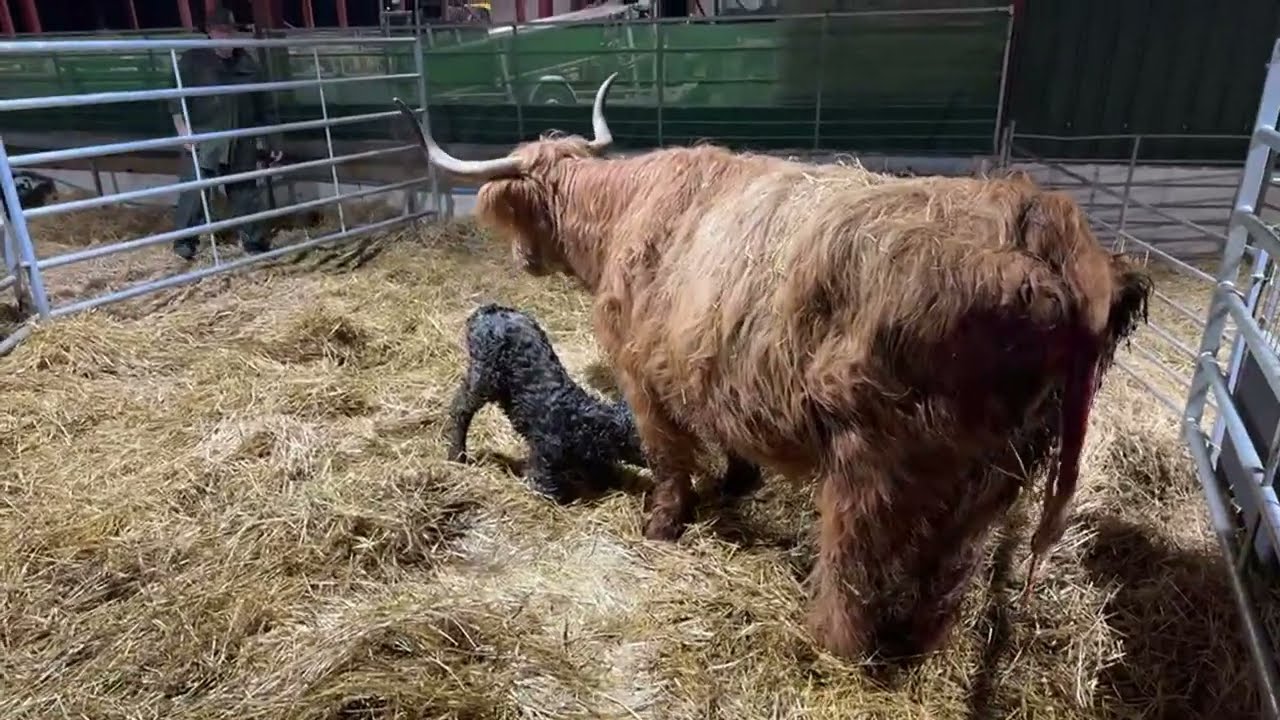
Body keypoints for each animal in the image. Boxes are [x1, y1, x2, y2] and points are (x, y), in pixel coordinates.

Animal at [393, 76, 1153, 663]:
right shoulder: (711, 370)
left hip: (874, 453)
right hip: (998, 468)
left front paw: (661, 525)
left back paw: (830, 642)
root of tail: (1047, 230)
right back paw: (917, 640)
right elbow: (725, 436)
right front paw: (736, 482)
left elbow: (668, 457)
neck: (624, 214)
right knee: (952, 564)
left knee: (854, 559)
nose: (522, 261)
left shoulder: (644, 374)